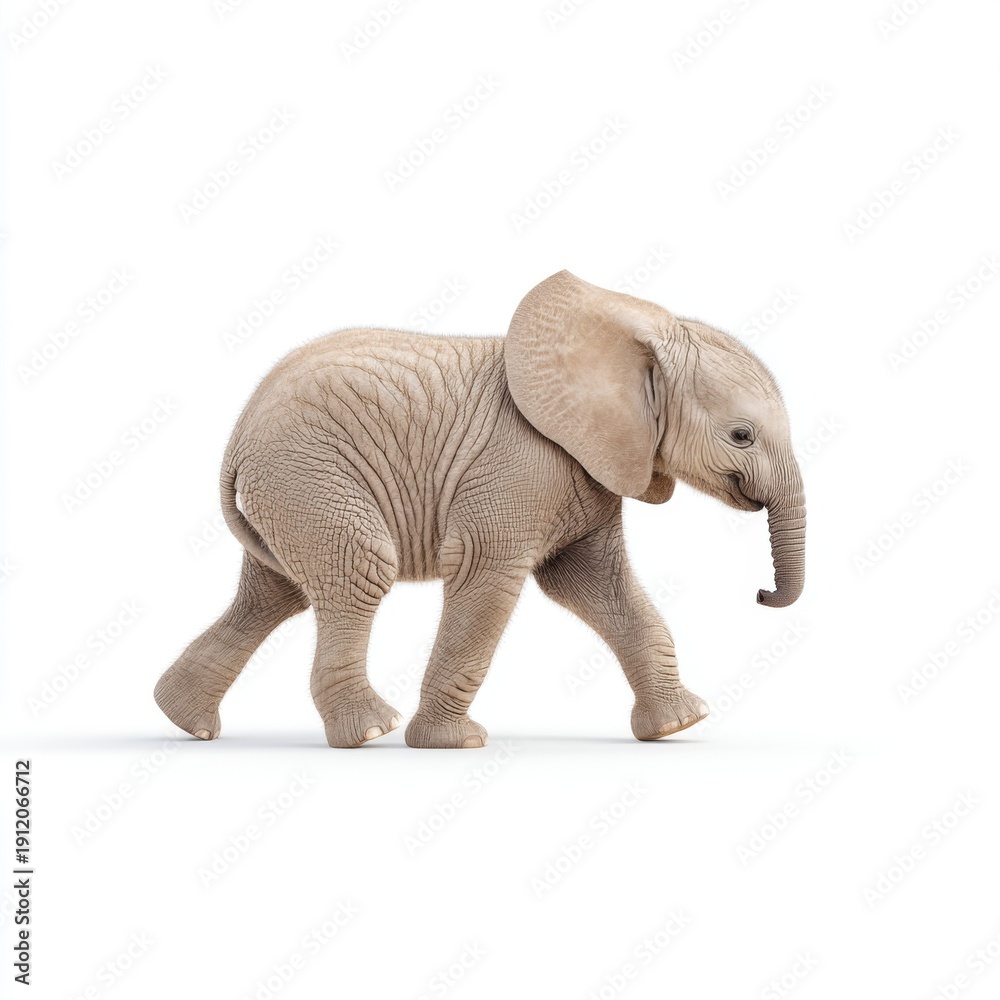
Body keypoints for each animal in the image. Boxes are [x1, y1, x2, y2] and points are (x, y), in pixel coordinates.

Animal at [154, 270, 805, 749]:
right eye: (741, 436)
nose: (760, 594)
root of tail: (238, 435)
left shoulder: (588, 470)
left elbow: (596, 583)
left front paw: (679, 725)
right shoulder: (519, 461)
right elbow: (487, 576)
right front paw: (455, 743)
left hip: (289, 487)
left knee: (273, 593)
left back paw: (186, 723)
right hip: (308, 471)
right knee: (360, 568)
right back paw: (369, 731)